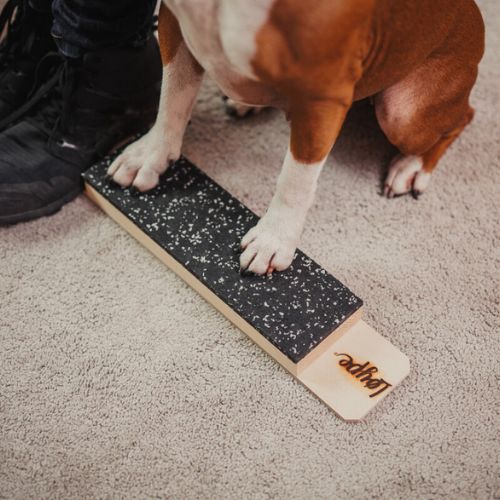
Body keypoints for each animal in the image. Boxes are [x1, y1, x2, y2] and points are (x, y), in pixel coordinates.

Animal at [107, 0, 484, 275]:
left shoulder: (322, 95)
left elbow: (295, 180)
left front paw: (274, 238)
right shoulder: (174, 22)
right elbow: (172, 97)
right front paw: (150, 155)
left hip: (403, 113)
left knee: (464, 116)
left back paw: (413, 166)